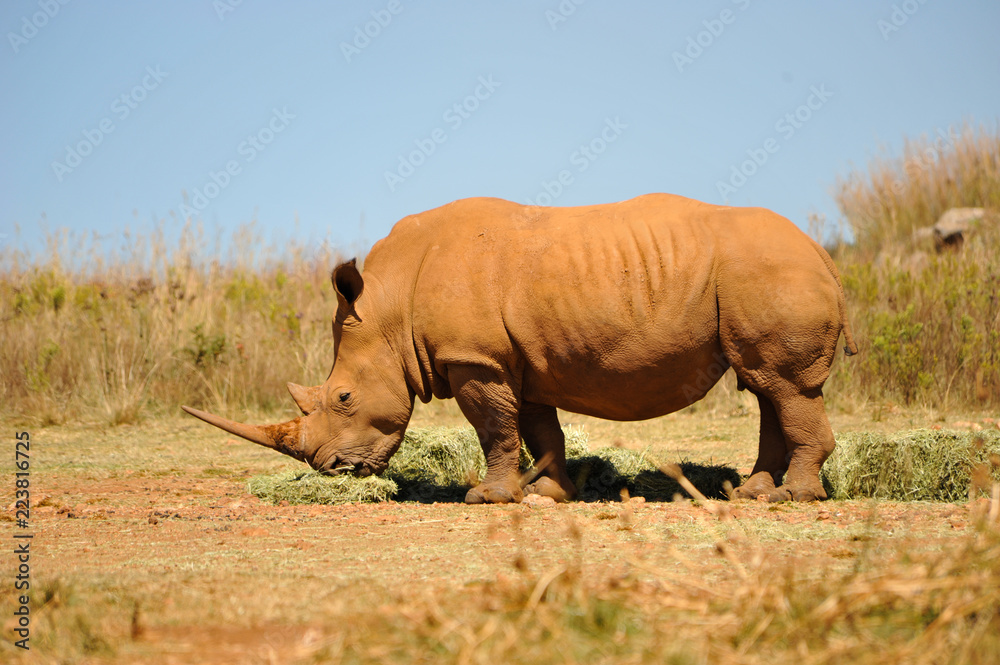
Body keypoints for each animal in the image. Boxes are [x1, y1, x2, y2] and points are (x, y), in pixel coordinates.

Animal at [183, 194, 858, 503]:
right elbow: (539, 429)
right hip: (763, 277)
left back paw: (793, 498)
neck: (391, 303)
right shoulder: (519, 360)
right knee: (766, 385)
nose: (331, 470)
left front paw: (487, 498)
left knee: (782, 386)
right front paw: (550, 496)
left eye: (344, 397)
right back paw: (752, 493)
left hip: (772, 272)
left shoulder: (473, 358)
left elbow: (495, 430)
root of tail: (822, 252)